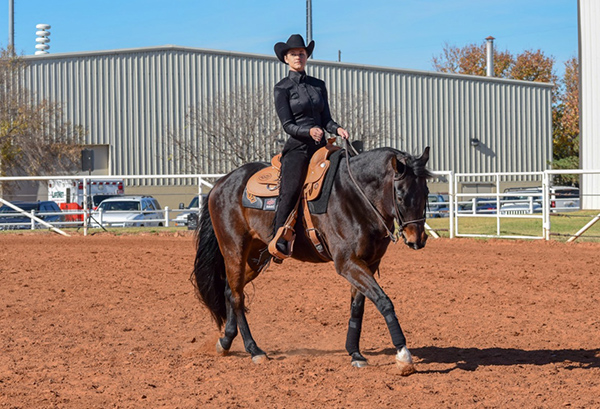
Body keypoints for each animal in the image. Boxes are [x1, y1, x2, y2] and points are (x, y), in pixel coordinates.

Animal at [192, 145, 432, 374]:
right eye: (400, 196)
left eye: (426, 192)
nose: (417, 240)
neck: (354, 196)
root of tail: (221, 183)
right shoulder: (347, 263)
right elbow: (384, 301)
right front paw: (403, 355)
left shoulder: (368, 263)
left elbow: (357, 307)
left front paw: (355, 353)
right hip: (234, 249)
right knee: (237, 297)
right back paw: (254, 350)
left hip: (253, 258)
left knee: (231, 290)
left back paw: (225, 341)